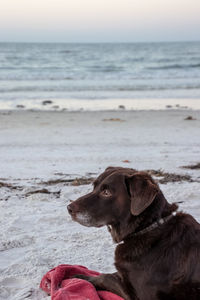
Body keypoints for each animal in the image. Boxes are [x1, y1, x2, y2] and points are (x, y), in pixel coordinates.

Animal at [67, 166, 200, 300]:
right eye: (94, 187)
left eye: (106, 192)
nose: (69, 208)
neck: (147, 228)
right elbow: (113, 274)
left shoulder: (138, 295)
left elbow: (107, 277)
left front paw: (81, 278)